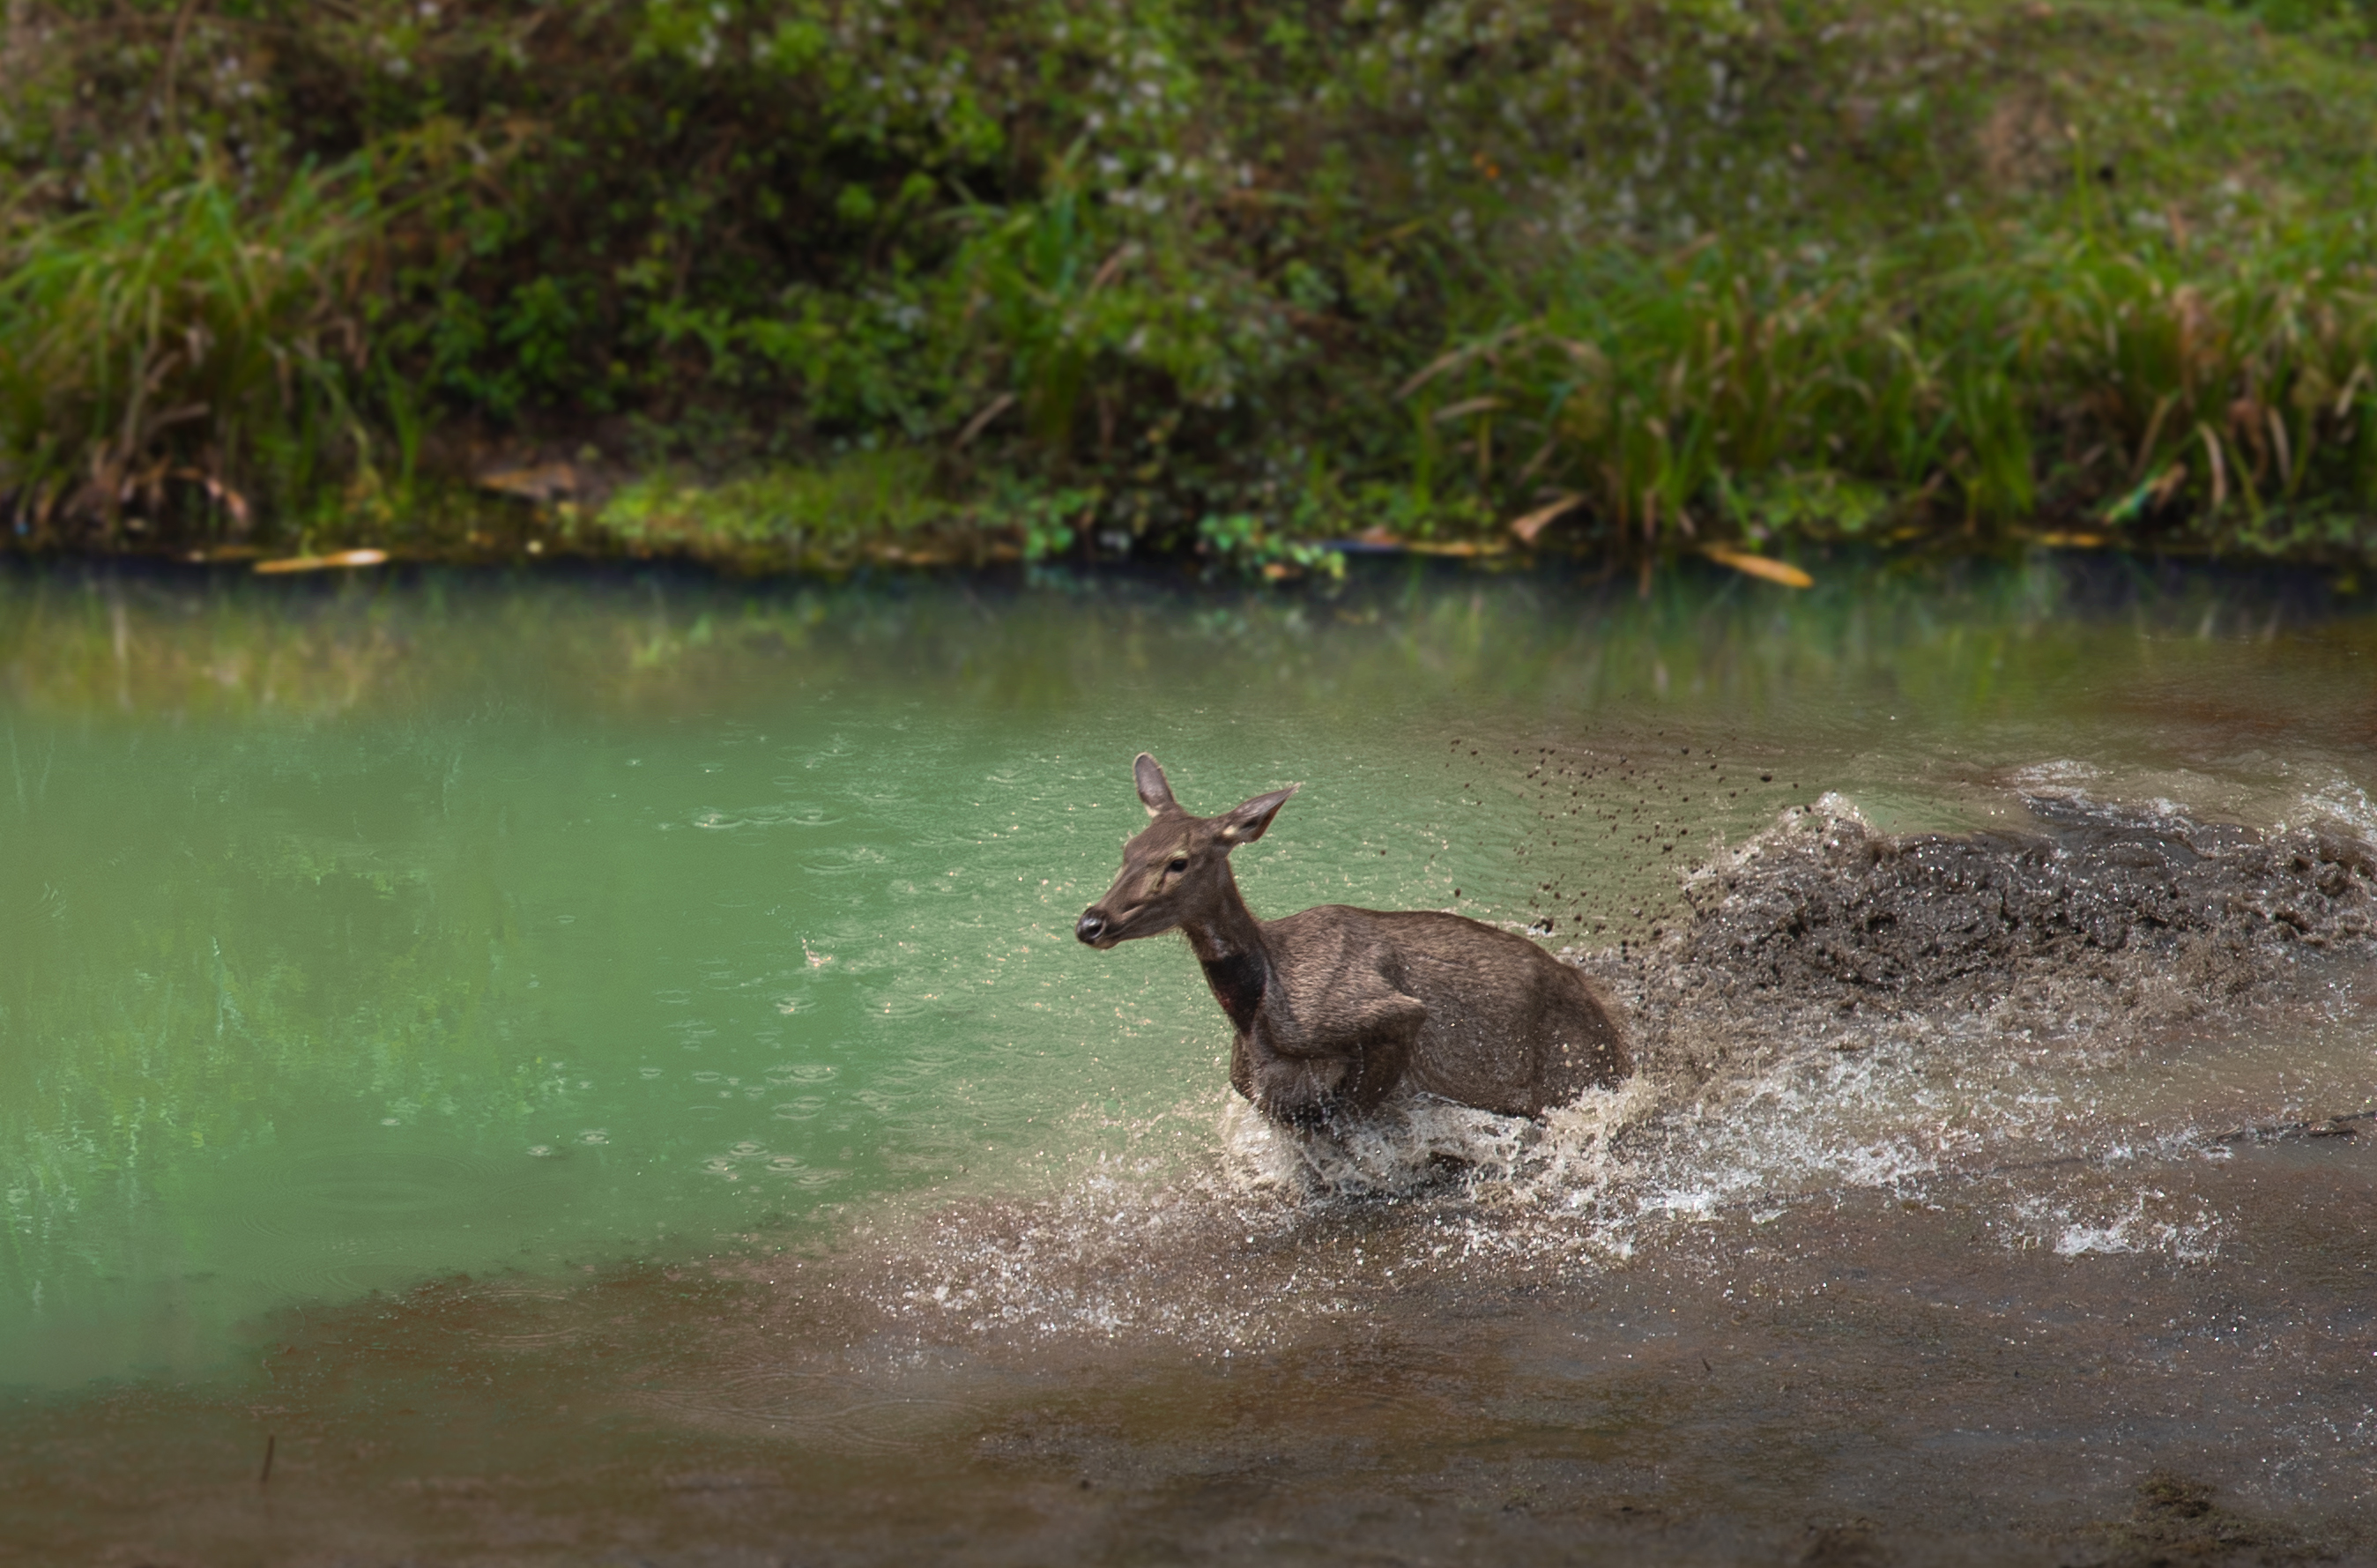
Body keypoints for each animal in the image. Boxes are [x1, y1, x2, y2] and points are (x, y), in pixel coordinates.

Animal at [1074, 754, 1629, 1129]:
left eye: (1179, 860)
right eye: (1127, 849)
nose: (1091, 922)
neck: (1256, 1006)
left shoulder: (1382, 1010)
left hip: (1575, 1074)